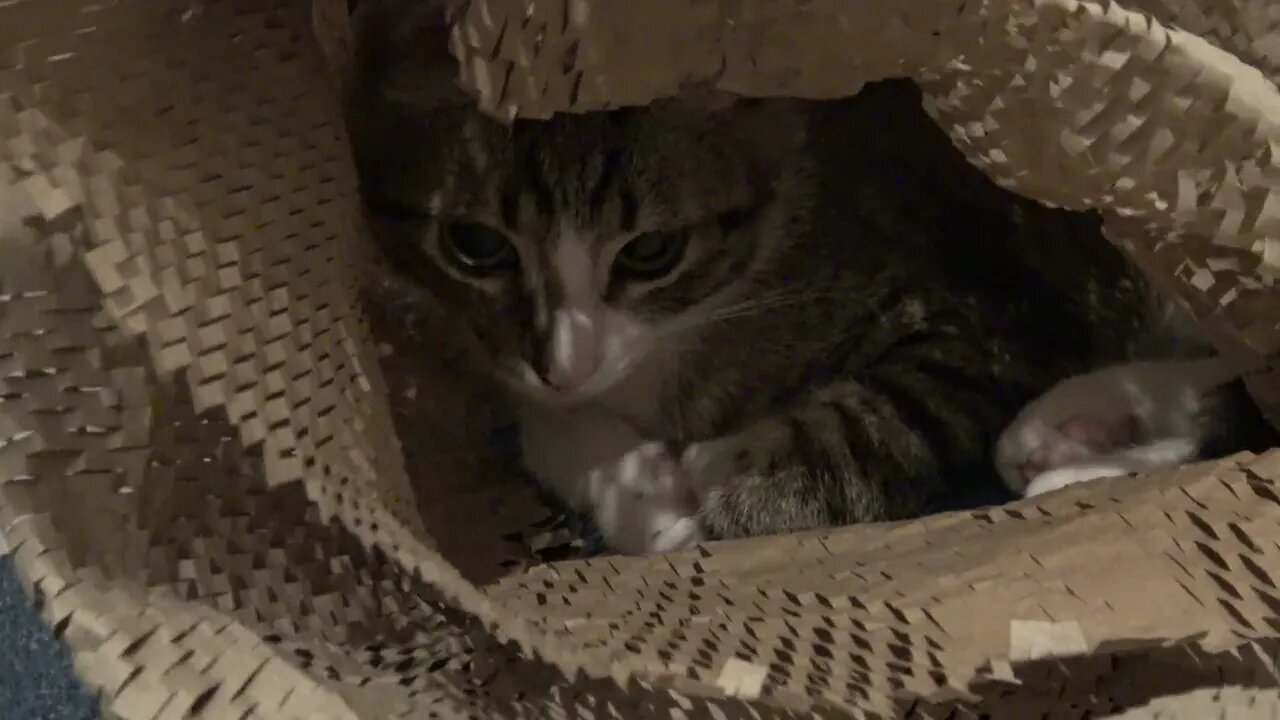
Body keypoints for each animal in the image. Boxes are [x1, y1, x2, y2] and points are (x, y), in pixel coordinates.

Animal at [345, 0, 1274, 550]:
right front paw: (638, 486)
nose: (563, 364)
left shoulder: (994, 312)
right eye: (475, 243)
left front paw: (709, 489)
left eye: (651, 251)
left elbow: (874, 423)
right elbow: (547, 421)